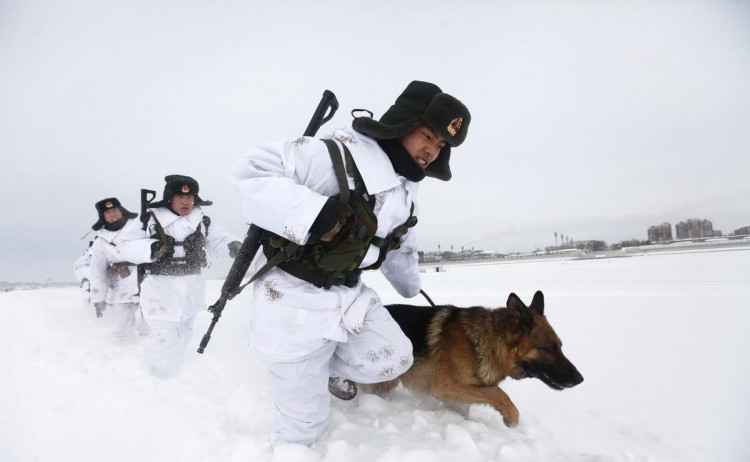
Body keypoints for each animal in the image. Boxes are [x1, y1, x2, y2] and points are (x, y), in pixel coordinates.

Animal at [370, 290, 588, 428]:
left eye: (560, 346)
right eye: (549, 348)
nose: (580, 379)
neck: (486, 343)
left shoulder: (457, 399)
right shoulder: (445, 386)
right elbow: (498, 393)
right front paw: (511, 417)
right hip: (385, 381)